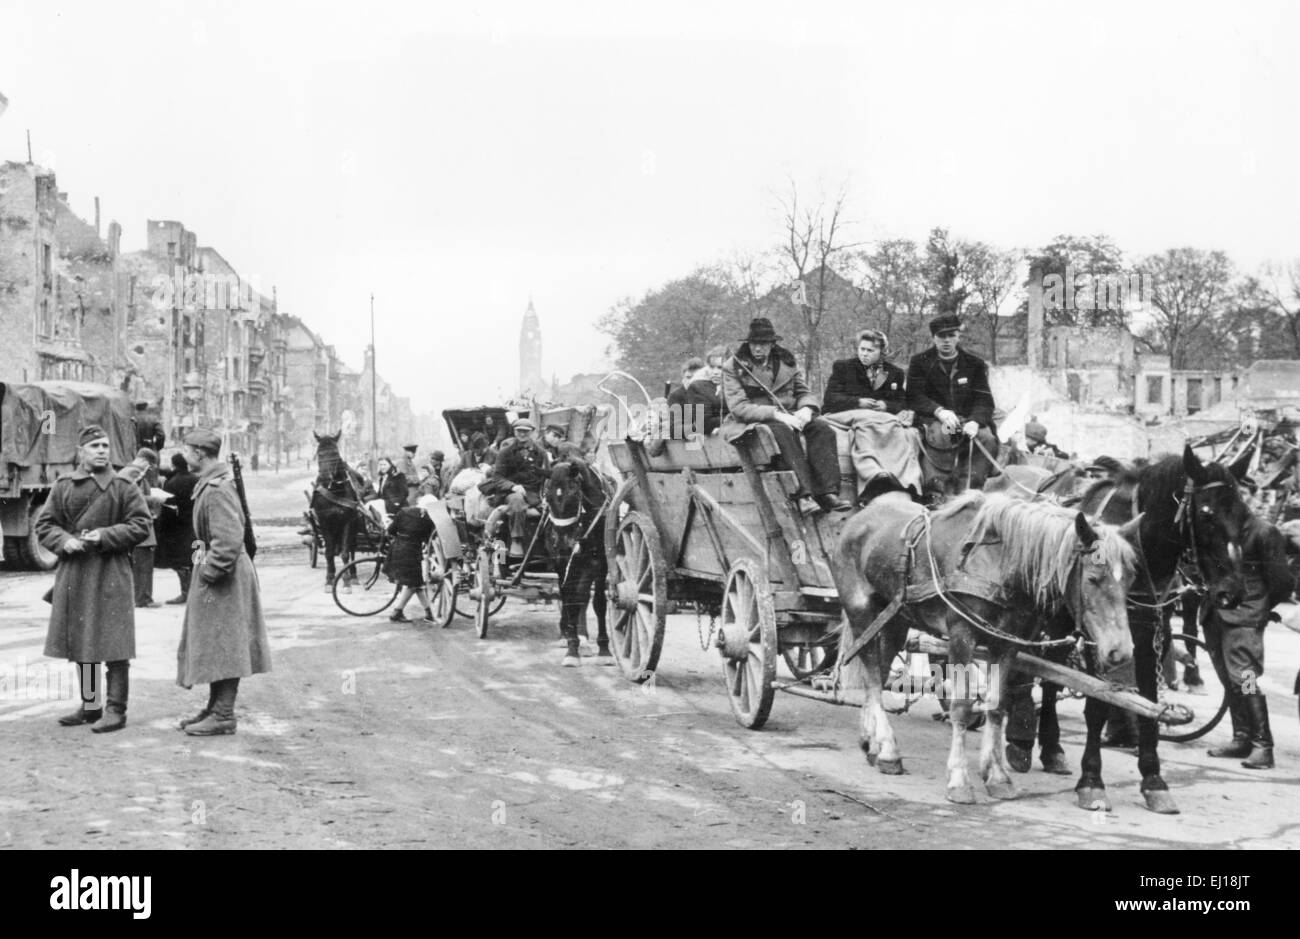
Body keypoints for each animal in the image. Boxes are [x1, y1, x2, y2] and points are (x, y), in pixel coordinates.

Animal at [304, 429, 366, 585]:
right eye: (320, 453)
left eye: (335, 453)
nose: (326, 478)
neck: (334, 490)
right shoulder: (324, 521)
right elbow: (329, 552)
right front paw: (330, 577)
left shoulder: (348, 521)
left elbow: (345, 552)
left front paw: (346, 579)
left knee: (351, 548)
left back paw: (353, 574)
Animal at [543, 449, 613, 663]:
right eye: (547, 496)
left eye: (574, 494)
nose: (563, 543)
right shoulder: (563, 562)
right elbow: (570, 600)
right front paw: (572, 648)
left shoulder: (600, 563)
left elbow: (598, 602)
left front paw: (604, 649)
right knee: (570, 596)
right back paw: (569, 634)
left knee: (583, 596)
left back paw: (583, 637)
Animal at [832, 486, 1138, 801]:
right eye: (1093, 578)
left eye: (1130, 579)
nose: (1121, 650)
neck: (997, 563)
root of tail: (859, 518)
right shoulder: (961, 636)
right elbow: (961, 707)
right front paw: (959, 779)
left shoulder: (1006, 645)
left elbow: (997, 706)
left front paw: (998, 776)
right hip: (861, 612)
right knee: (871, 677)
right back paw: (889, 752)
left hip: (895, 619)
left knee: (879, 675)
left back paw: (873, 743)